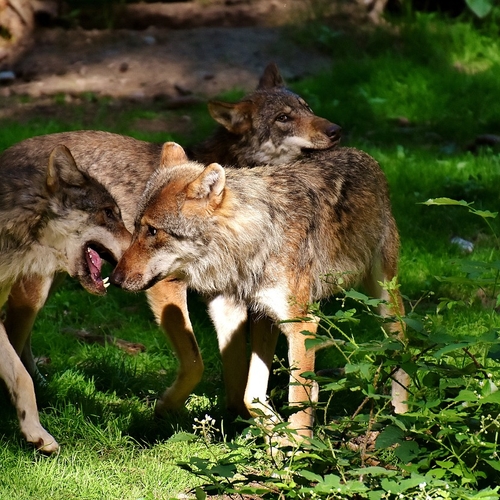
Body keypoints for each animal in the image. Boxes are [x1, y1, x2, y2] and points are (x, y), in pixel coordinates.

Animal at [109, 142, 406, 442]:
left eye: (153, 231)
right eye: (136, 227)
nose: (115, 279)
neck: (252, 242)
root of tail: (362, 154)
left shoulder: (300, 325)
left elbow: (296, 401)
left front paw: (297, 448)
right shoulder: (240, 313)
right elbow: (248, 394)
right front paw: (278, 437)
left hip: (383, 301)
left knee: (402, 349)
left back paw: (403, 418)